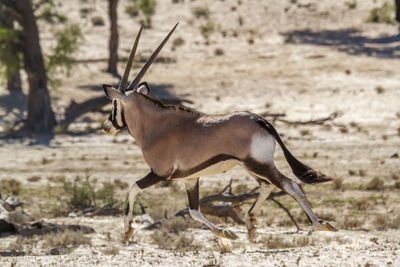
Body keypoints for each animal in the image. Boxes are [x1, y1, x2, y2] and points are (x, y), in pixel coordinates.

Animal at [103, 23, 338, 251]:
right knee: (267, 186)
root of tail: (260, 120)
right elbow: (194, 211)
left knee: (289, 185)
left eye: (114, 104)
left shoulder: (160, 173)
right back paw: (250, 223)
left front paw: (128, 230)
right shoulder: (190, 178)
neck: (156, 126)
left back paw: (320, 224)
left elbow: (133, 188)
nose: (107, 126)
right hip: (251, 166)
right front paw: (225, 234)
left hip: (258, 164)